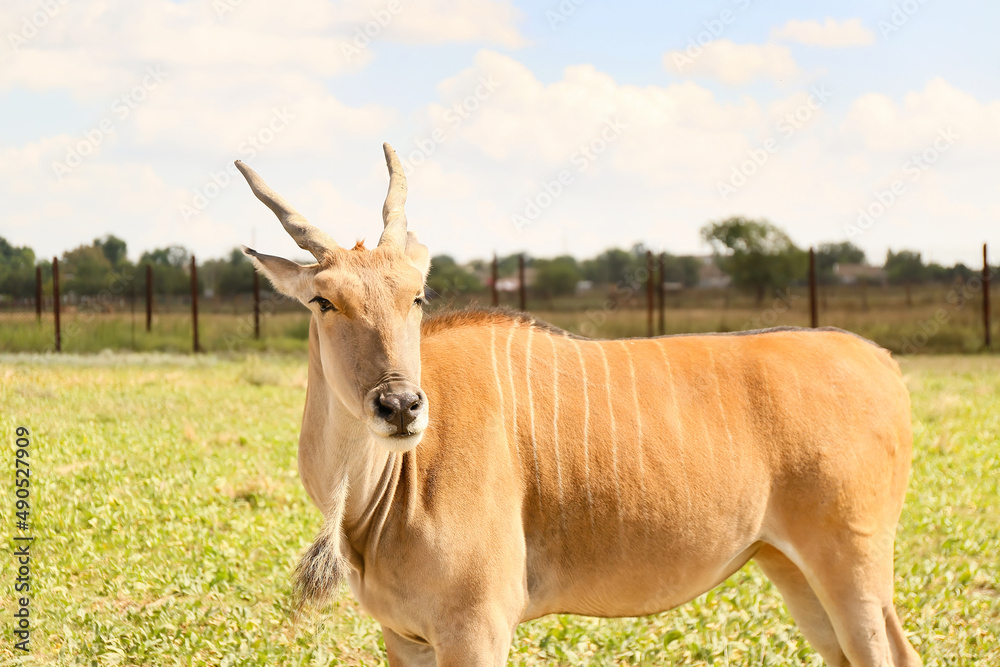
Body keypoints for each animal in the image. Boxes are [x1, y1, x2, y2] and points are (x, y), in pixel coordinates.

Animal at [234, 144, 920, 664]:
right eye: (324, 300)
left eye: (417, 295)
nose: (400, 406)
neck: (383, 493)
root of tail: (879, 359)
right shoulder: (405, 639)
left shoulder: (476, 629)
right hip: (793, 569)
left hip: (852, 565)